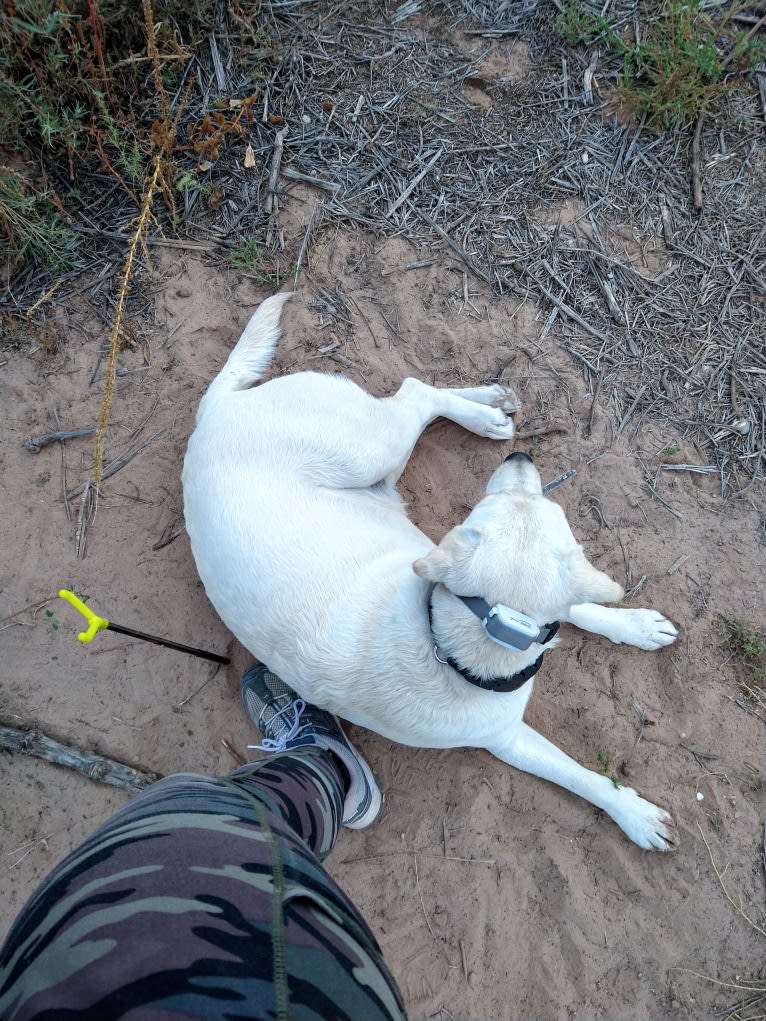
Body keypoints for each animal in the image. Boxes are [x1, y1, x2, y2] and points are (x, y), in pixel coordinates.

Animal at [182, 294, 682, 853]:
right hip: (372, 446)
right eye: (498, 500)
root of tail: (215, 407)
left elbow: (585, 609)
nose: (522, 457)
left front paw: (636, 626)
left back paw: (491, 399)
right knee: (412, 394)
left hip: (380, 467)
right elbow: (579, 775)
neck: (457, 635)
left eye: (538, 503)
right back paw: (486, 416)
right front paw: (633, 815)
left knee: (416, 391)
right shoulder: (505, 739)